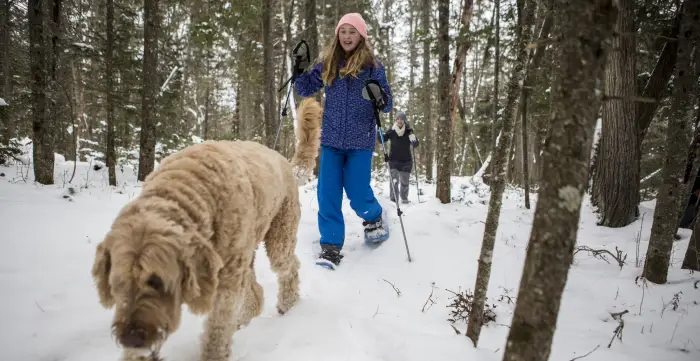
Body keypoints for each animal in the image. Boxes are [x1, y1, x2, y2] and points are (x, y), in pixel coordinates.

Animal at [90, 97, 322, 360]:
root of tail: (285, 161)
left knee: (289, 267)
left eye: (157, 281)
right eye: (117, 283)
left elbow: (216, 332)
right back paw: (244, 319)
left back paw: (287, 304)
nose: (130, 339)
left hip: (278, 237)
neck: (188, 192)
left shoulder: (225, 284)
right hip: (245, 255)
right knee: (255, 291)